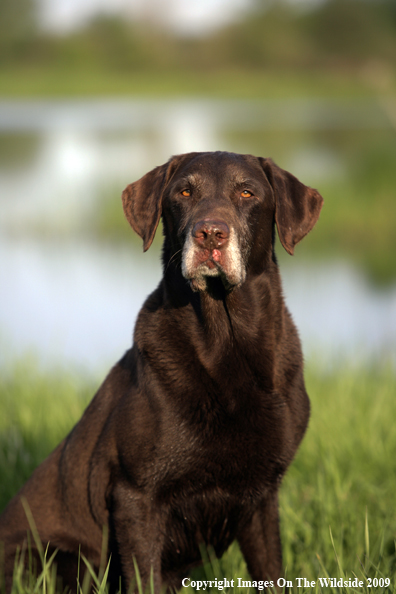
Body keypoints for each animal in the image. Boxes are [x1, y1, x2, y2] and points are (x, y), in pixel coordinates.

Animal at [0, 150, 322, 588]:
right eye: (184, 192)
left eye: (247, 193)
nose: (210, 234)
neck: (227, 345)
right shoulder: (137, 496)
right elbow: (144, 578)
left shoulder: (262, 496)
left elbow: (271, 573)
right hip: (57, 559)